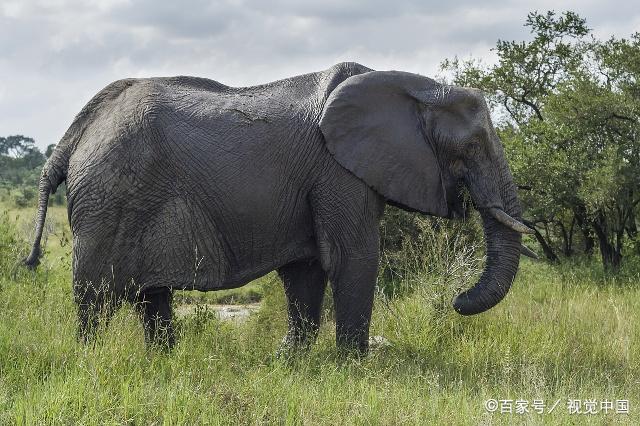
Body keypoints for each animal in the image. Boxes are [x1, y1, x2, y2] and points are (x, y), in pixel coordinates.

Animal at [23, 62, 536, 352]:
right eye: (471, 147)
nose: (456, 300)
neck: (418, 87)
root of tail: (73, 137)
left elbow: (306, 267)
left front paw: (291, 362)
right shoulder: (337, 170)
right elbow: (352, 258)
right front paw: (352, 368)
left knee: (153, 296)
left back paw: (161, 363)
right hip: (108, 196)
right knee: (96, 296)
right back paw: (92, 361)